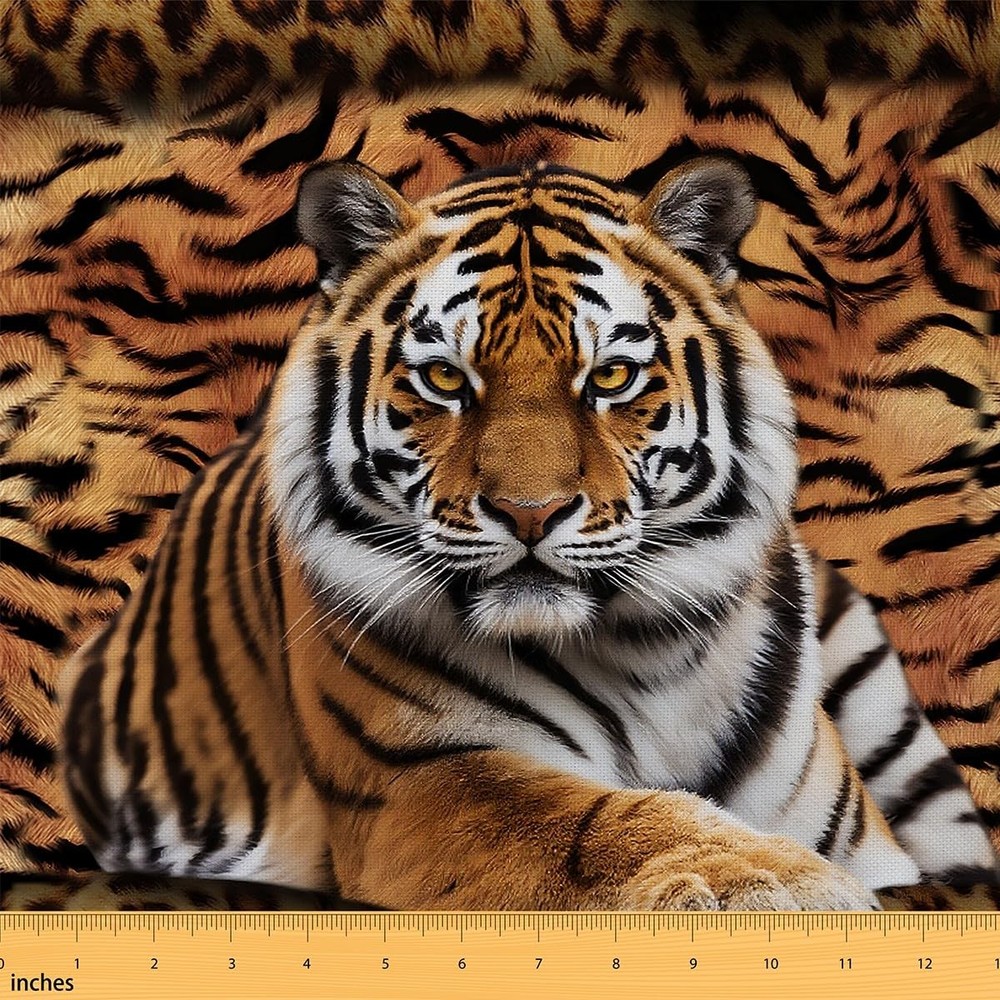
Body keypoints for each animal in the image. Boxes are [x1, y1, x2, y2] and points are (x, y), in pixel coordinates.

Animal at [54, 156, 999, 911]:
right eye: (444, 380)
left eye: (610, 377)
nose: (531, 513)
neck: (646, 662)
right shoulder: (417, 783)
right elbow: (591, 822)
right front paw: (775, 887)